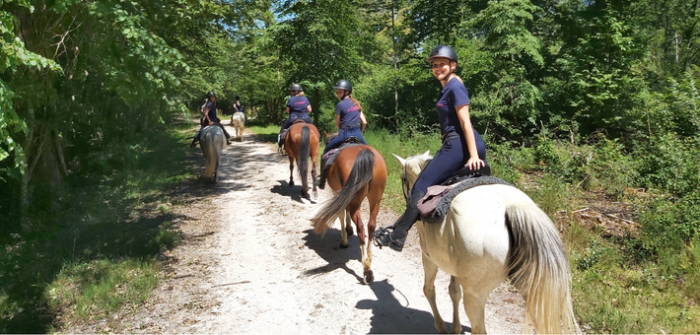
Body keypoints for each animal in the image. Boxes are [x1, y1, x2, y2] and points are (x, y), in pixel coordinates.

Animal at [312, 135, 388, 284]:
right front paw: (348, 229)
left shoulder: (337, 191)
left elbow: (341, 214)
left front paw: (344, 240)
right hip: (375, 200)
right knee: (371, 225)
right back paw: (368, 260)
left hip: (354, 200)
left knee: (361, 227)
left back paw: (366, 269)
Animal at [392, 153, 576, 335]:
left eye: (403, 178)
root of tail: (513, 206)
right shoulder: (455, 268)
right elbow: (454, 292)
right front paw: (455, 329)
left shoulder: (429, 257)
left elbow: (429, 289)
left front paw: (442, 327)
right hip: (534, 290)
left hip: (475, 294)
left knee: (479, 329)